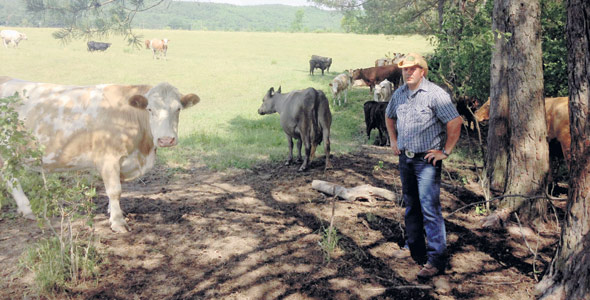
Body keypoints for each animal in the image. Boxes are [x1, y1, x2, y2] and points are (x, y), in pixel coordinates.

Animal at [0, 77, 201, 232]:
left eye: (178, 109)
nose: (166, 139)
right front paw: (118, 222)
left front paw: (113, 212)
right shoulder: (108, 158)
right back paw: (27, 209)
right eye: (150, 109)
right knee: (10, 178)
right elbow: (115, 190)